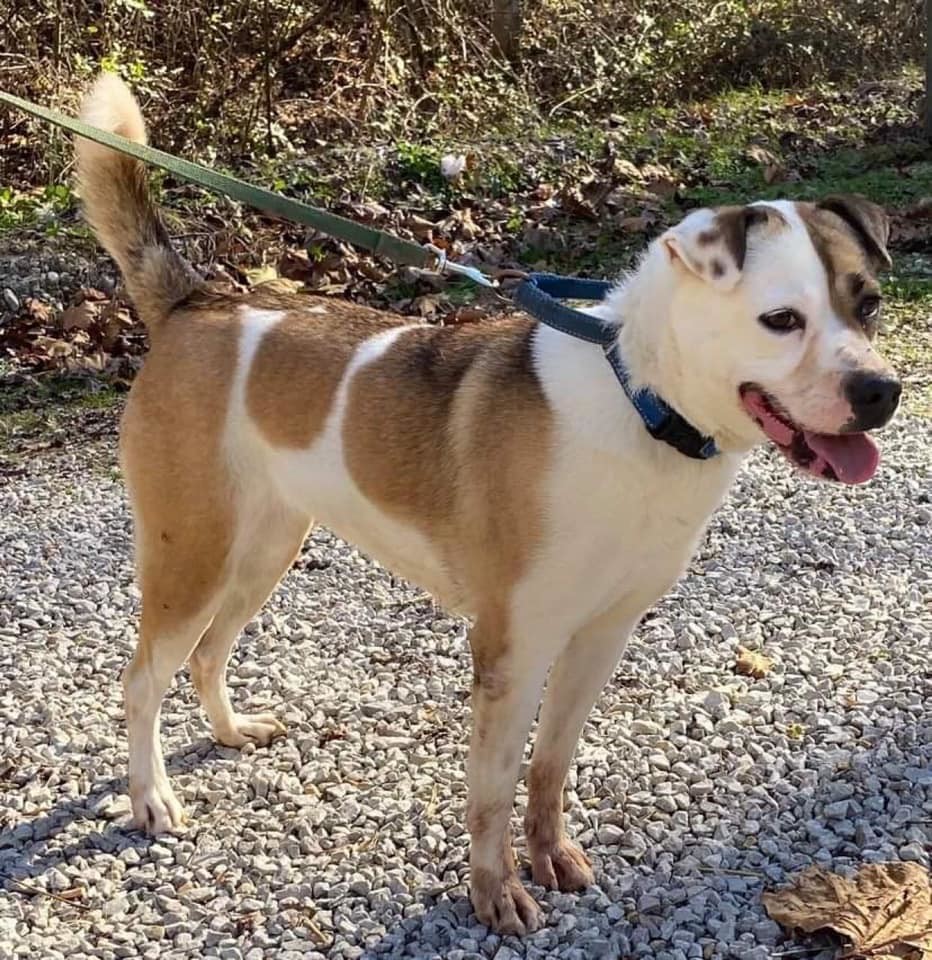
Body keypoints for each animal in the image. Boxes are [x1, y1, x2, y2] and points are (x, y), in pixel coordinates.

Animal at [76, 77, 900, 936]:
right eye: (781, 319)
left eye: (869, 303)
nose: (882, 393)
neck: (638, 400)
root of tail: (196, 300)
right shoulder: (513, 648)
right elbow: (494, 788)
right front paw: (494, 891)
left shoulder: (599, 638)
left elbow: (551, 765)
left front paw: (551, 856)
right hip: (194, 556)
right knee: (143, 680)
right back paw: (151, 798)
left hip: (265, 548)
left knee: (208, 654)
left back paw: (232, 732)